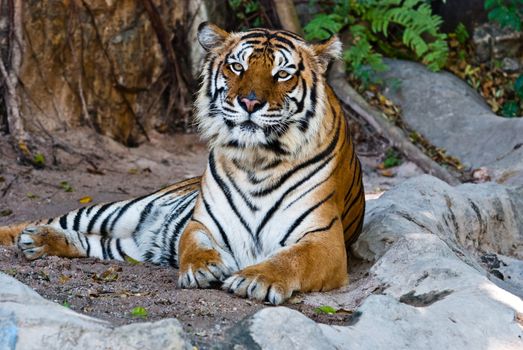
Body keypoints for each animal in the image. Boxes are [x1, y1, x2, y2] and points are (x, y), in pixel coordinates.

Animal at [0, 22, 366, 304]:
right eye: (238, 67)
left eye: (282, 73)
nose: (249, 102)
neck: (257, 160)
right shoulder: (203, 222)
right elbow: (194, 245)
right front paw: (203, 268)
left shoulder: (324, 240)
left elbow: (291, 258)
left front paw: (255, 279)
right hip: (120, 209)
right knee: (50, 221)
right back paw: (29, 236)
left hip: (123, 244)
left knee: (90, 240)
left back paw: (38, 242)